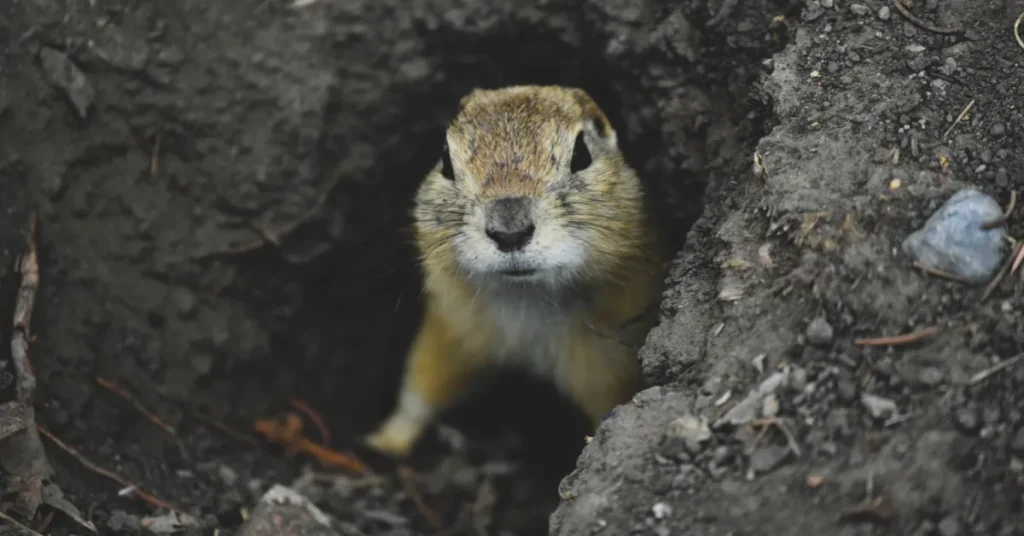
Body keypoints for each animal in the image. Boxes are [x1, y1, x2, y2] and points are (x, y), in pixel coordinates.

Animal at [366, 85, 671, 457]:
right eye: (446, 161)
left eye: (582, 154)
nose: (509, 231)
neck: (527, 298)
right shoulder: (452, 331)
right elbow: (421, 386)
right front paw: (384, 442)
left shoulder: (607, 366)